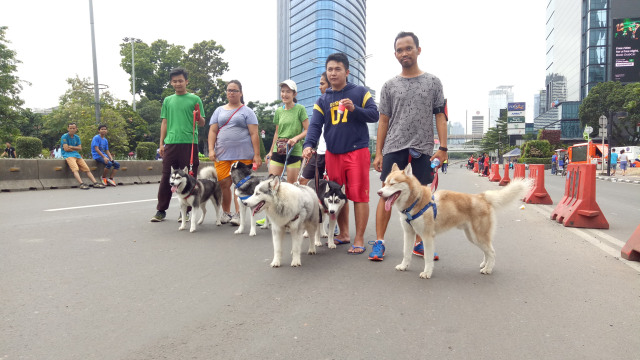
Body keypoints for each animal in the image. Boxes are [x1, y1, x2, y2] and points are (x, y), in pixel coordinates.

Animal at [378, 163, 532, 278]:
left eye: (393, 184)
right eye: (385, 183)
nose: (379, 192)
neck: (416, 201)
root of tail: (482, 197)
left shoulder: (427, 237)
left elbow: (428, 258)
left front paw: (427, 272)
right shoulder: (409, 233)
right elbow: (406, 253)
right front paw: (404, 266)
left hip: (478, 236)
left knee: (492, 252)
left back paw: (488, 269)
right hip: (473, 237)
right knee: (487, 251)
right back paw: (485, 264)